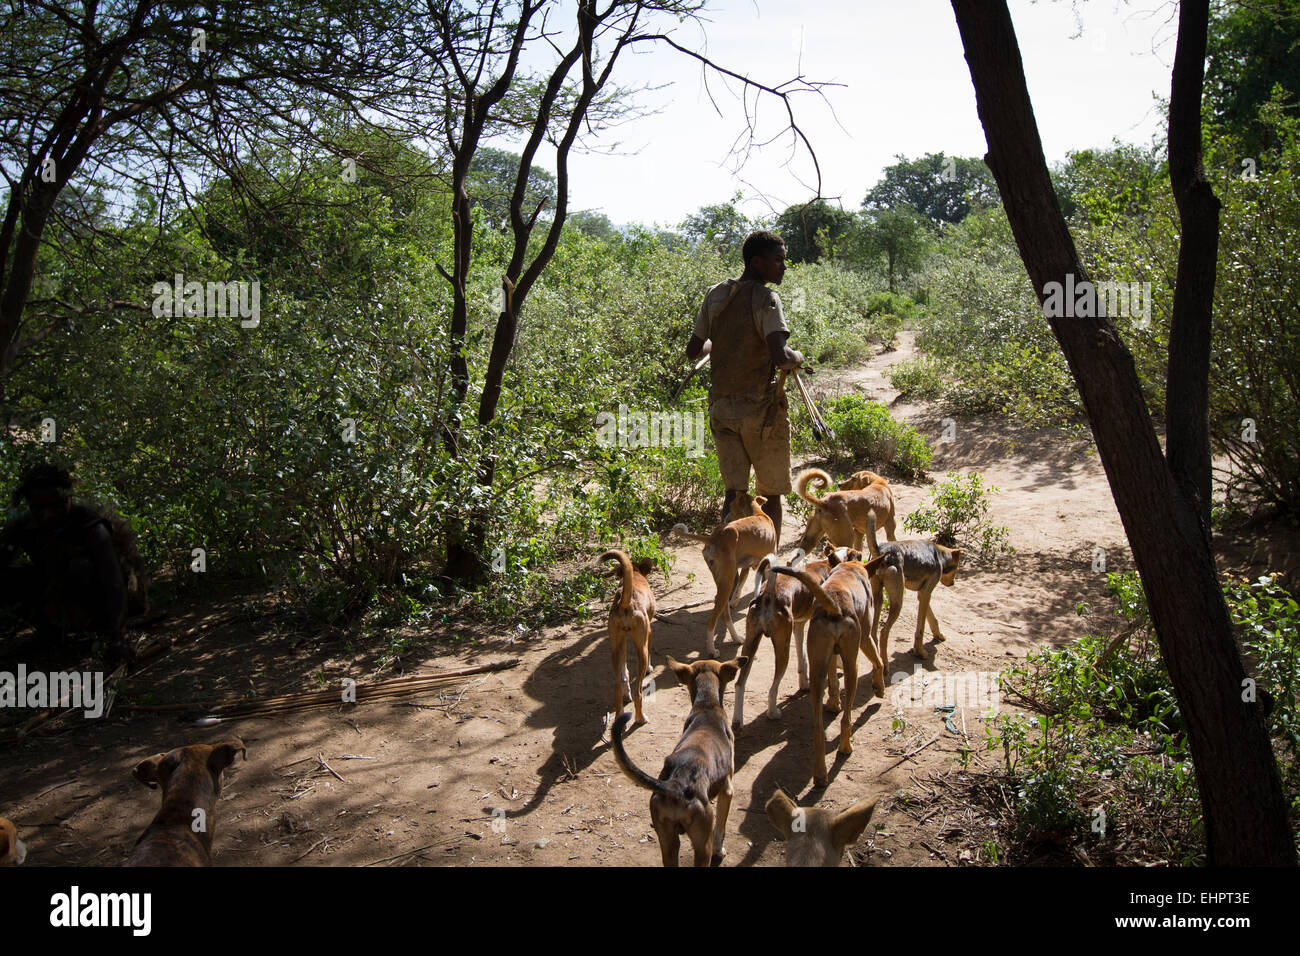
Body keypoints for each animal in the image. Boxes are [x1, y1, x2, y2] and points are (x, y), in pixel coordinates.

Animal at [598, 548, 660, 723]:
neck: (635, 574)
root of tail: (626, 602)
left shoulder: (623, 641)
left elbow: (624, 671)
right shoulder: (649, 633)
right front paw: (650, 668)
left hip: (614, 647)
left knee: (617, 688)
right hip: (641, 650)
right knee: (638, 692)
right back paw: (641, 718)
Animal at [613, 658, 748, 868]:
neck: (707, 706)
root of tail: (677, 784)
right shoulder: (727, 790)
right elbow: (721, 828)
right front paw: (720, 850)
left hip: (668, 842)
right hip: (702, 846)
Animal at [676, 494, 774, 658]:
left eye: (732, 506)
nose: (726, 518)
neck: (758, 513)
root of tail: (714, 537)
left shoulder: (748, 567)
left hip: (724, 581)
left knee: (725, 614)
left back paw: (736, 638)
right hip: (727, 581)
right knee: (712, 621)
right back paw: (711, 650)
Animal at [774, 554, 889, 785]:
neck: (849, 569)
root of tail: (834, 606)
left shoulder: (830, 657)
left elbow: (834, 682)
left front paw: (833, 704)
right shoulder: (865, 638)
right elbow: (878, 661)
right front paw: (879, 687)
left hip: (817, 671)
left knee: (818, 731)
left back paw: (820, 774)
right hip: (852, 665)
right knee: (846, 719)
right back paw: (845, 748)